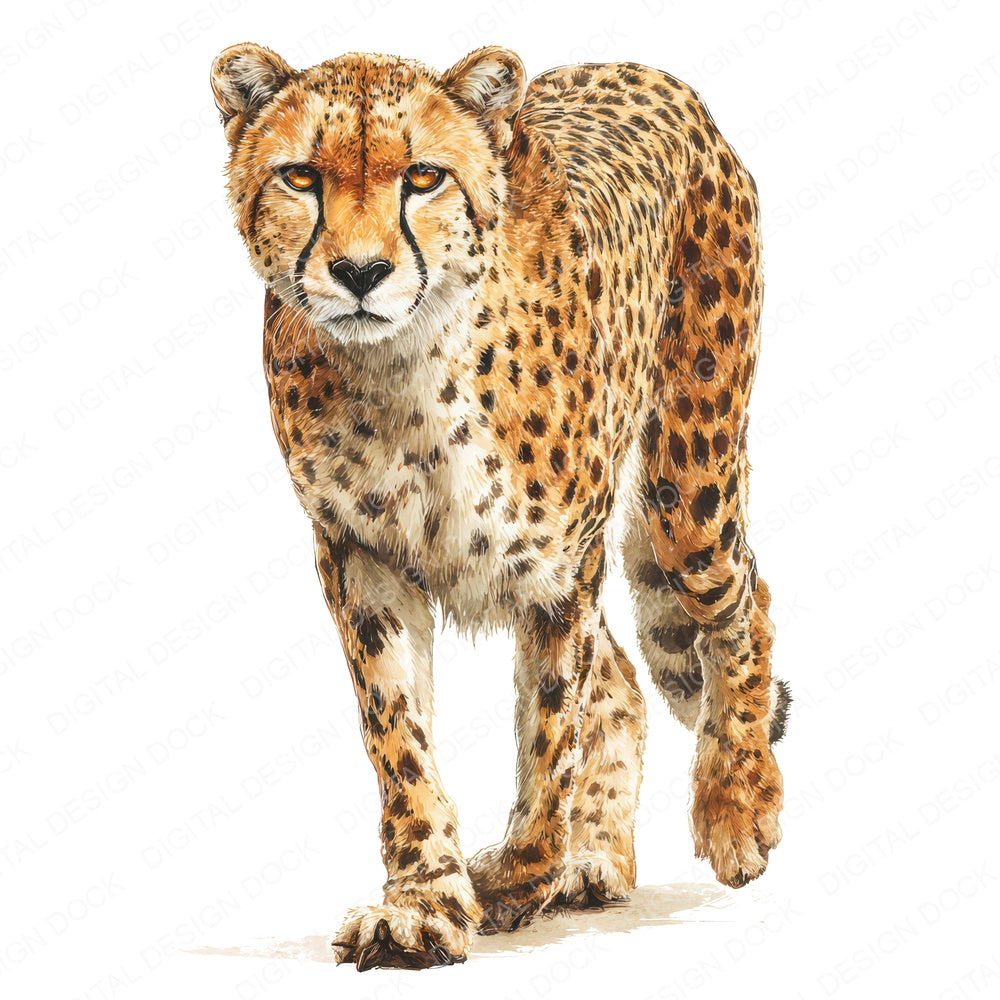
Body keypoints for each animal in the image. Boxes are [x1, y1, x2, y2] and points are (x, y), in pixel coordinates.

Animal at [211, 41, 790, 971]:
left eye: (423, 177)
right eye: (300, 176)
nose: (361, 273)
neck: (405, 370)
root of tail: (642, 69)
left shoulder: (561, 572)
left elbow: (548, 734)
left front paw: (513, 880)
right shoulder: (360, 555)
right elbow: (399, 736)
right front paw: (423, 903)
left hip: (688, 484)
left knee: (739, 600)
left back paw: (737, 807)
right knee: (625, 675)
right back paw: (598, 861)